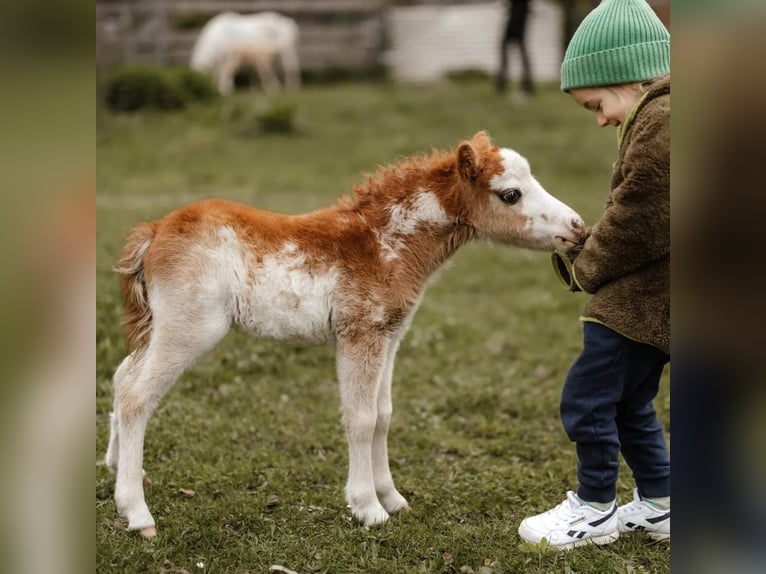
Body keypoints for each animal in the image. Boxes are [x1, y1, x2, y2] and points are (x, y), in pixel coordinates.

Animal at [105, 133, 588, 536]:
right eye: (511, 194)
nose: (578, 228)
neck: (384, 243)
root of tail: (155, 231)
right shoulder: (360, 335)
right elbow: (360, 418)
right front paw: (367, 508)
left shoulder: (391, 337)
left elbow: (383, 414)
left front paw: (391, 497)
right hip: (190, 329)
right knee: (136, 397)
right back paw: (137, 513)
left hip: (162, 326)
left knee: (122, 376)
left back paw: (118, 466)